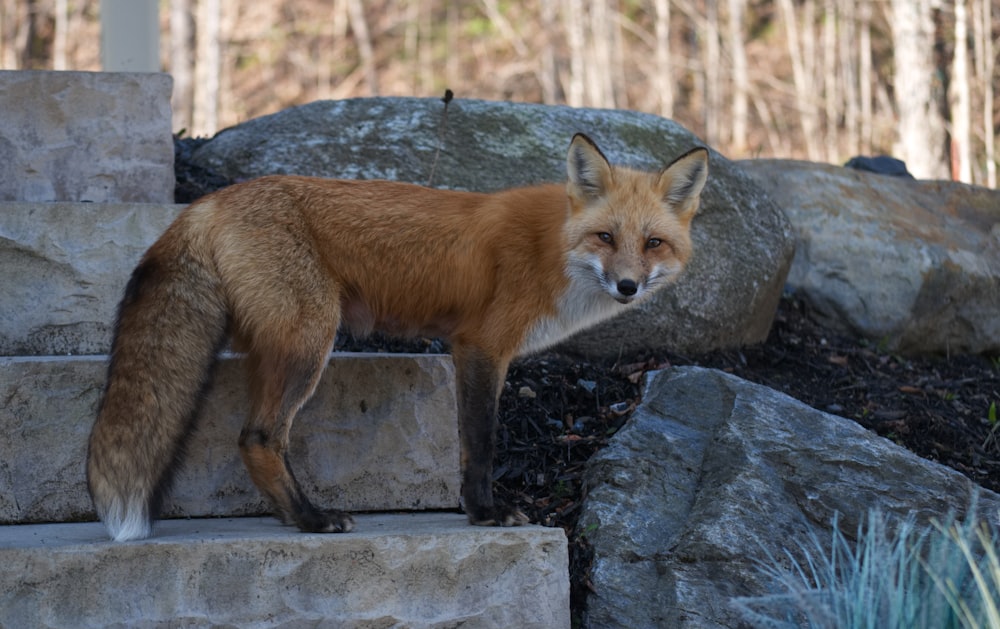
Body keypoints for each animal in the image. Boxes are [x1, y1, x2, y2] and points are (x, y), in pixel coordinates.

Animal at [88, 132, 712, 540]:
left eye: (653, 243)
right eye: (605, 237)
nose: (628, 286)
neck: (552, 247)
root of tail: (209, 200)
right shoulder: (481, 347)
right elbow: (479, 444)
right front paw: (485, 513)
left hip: (279, 347)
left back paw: (291, 516)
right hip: (308, 345)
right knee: (258, 437)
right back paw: (312, 520)